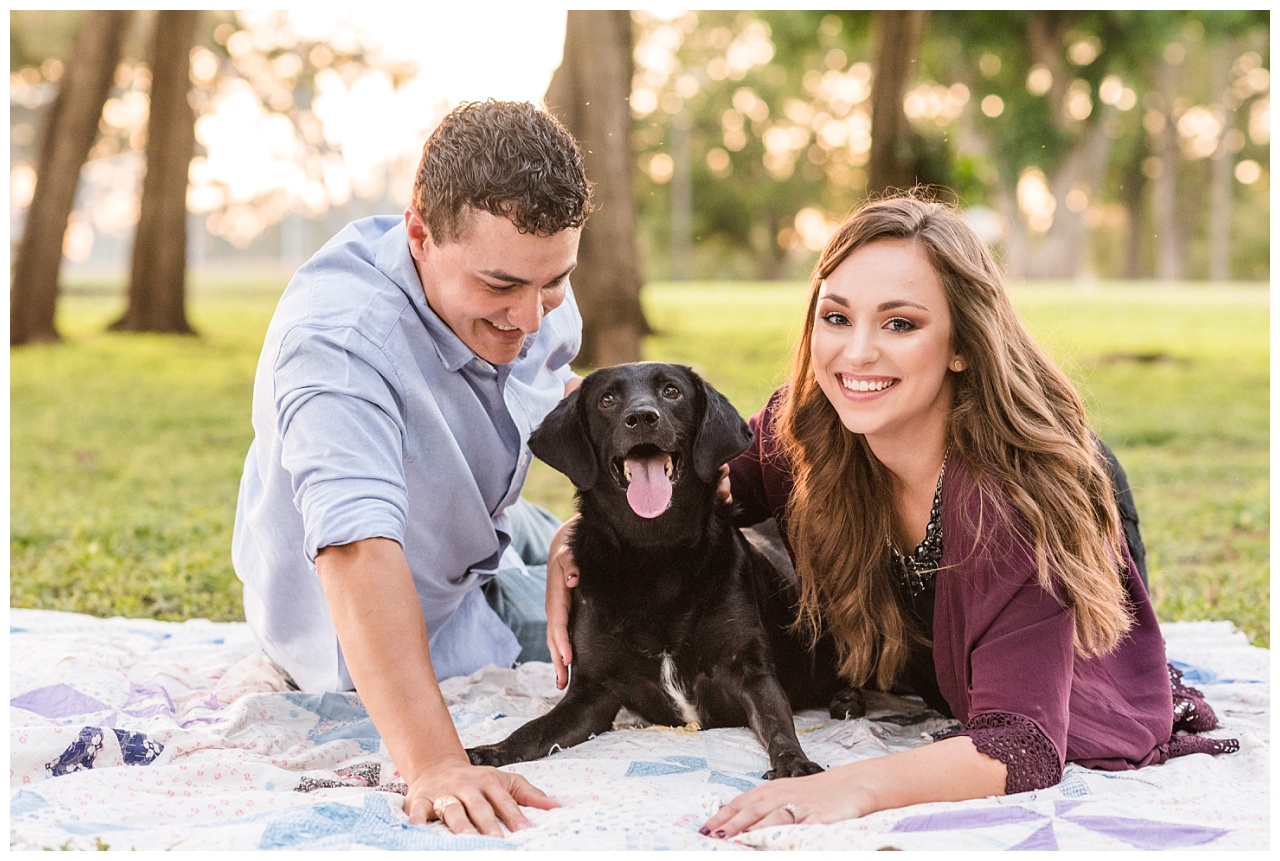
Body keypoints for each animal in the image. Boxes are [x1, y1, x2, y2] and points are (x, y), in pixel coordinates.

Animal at [465, 358, 865, 777]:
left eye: (672, 391)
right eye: (607, 399)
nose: (642, 417)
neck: (654, 556)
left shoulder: (751, 672)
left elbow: (777, 723)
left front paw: (794, 763)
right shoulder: (592, 694)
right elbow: (534, 730)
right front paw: (491, 750)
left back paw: (847, 699)